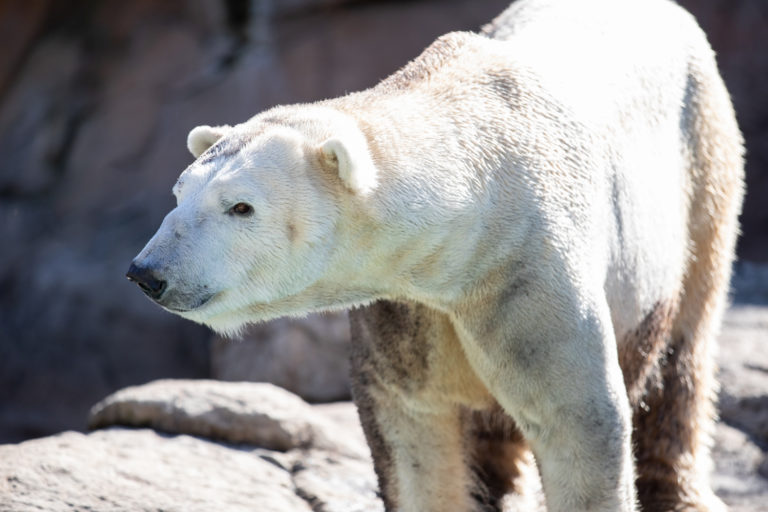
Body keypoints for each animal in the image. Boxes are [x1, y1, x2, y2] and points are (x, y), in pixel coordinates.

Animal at [129, 1, 740, 512]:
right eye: (179, 194)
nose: (146, 273)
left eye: (241, 206)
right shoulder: (409, 308)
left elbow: (578, 418)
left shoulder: (527, 267)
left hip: (702, 168)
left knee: (683, 356)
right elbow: (415, 430)